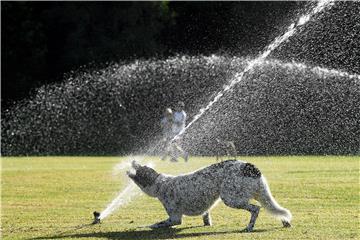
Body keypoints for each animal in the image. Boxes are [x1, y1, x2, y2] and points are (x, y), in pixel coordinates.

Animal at [128, 160, 292, 232]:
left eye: (140, 168)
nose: (133, 160)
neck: (160, 183)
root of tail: (250, 167)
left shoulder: (175, 218)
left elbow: (156, 224)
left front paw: (144, 227)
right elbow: (206, 216)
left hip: (231, 198)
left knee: (256, 209)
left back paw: (249, 227)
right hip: (261, 195)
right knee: (277, 211)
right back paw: (285, 222)